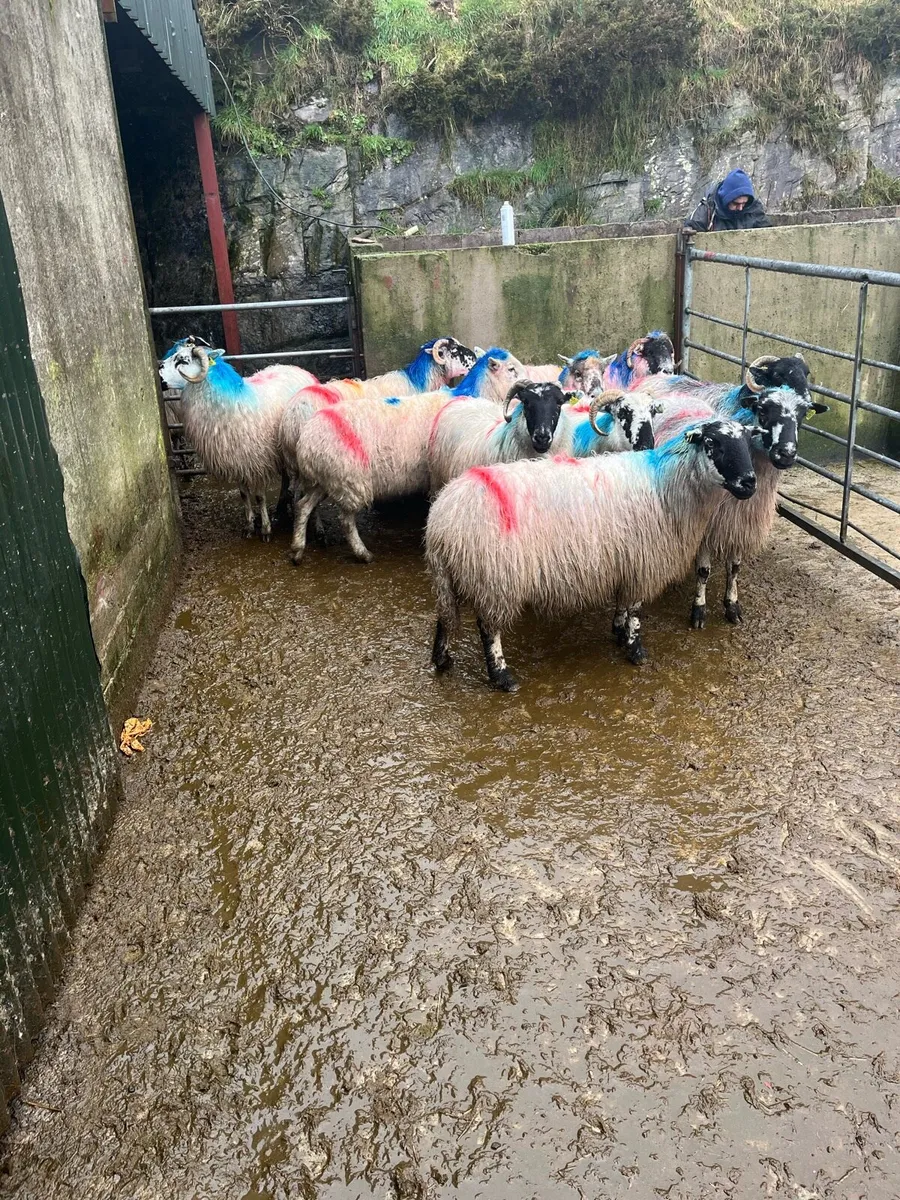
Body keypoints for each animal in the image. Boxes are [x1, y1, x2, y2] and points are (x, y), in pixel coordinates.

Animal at [289, 349, 526, 564]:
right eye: (511, 369)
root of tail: (307, 437)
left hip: (326, 479)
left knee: (303, 506)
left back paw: (298, 550)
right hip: (349, 480)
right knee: (345, 520)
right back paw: (362, 553)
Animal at [426, 415, 757, 690]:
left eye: (746, 441)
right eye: (712, 443)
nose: (750, 482)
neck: (666, 483)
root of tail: (442, 520)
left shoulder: (627, 559)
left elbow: (623, 602)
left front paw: (619, 631)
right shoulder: (643, 559)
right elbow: (635, 608)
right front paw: (636, 649)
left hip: (453, 576)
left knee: (445, 615)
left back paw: (443, 659)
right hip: (494, 578)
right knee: (488, 628)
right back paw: (502, 676)